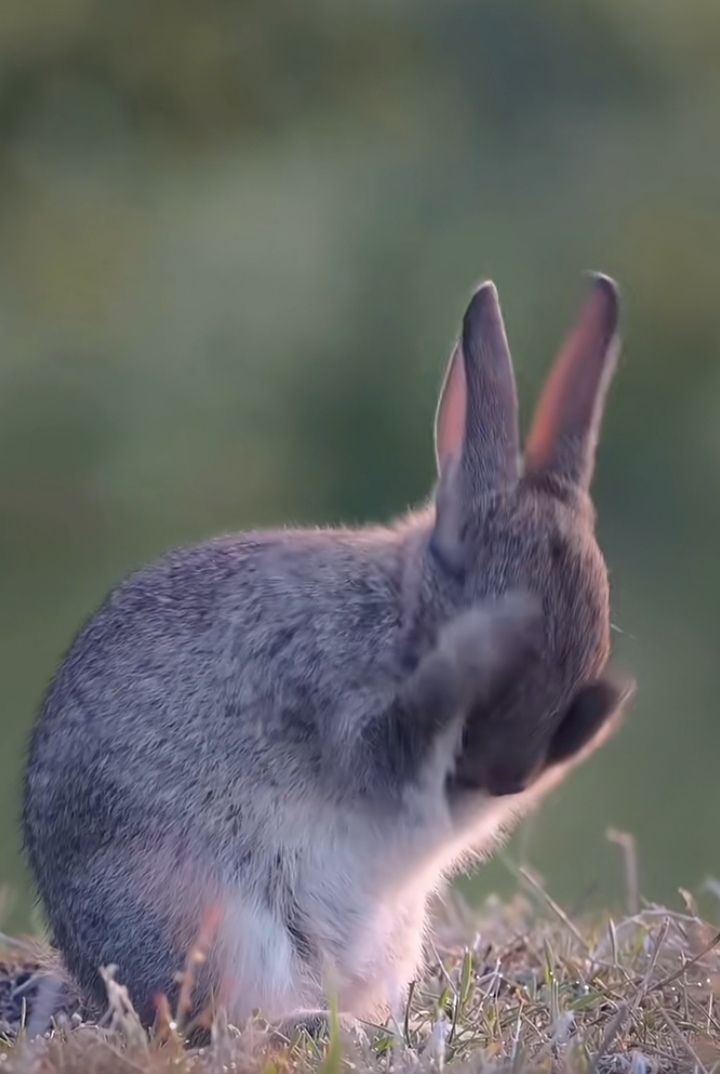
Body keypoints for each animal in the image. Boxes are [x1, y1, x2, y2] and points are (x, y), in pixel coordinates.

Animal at [19, 274, 636, 1039]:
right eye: (470, 577)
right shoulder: (341, 706)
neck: (400, 612)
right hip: (208, 916)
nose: (506, 775)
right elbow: (404, 736)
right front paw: (477, 647)